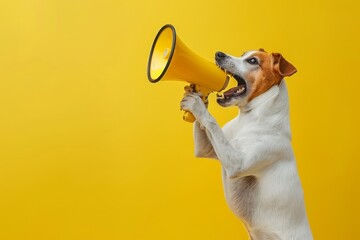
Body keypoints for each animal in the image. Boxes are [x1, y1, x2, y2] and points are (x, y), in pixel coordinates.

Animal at [180, 49, 312, 240]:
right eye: (244, 54)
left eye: (252, 61)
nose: (219, 53)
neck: (249, 118)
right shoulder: (206, 149)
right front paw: (196, 95)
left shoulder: (237, 163)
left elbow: (211, 122)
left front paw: (196, 104)